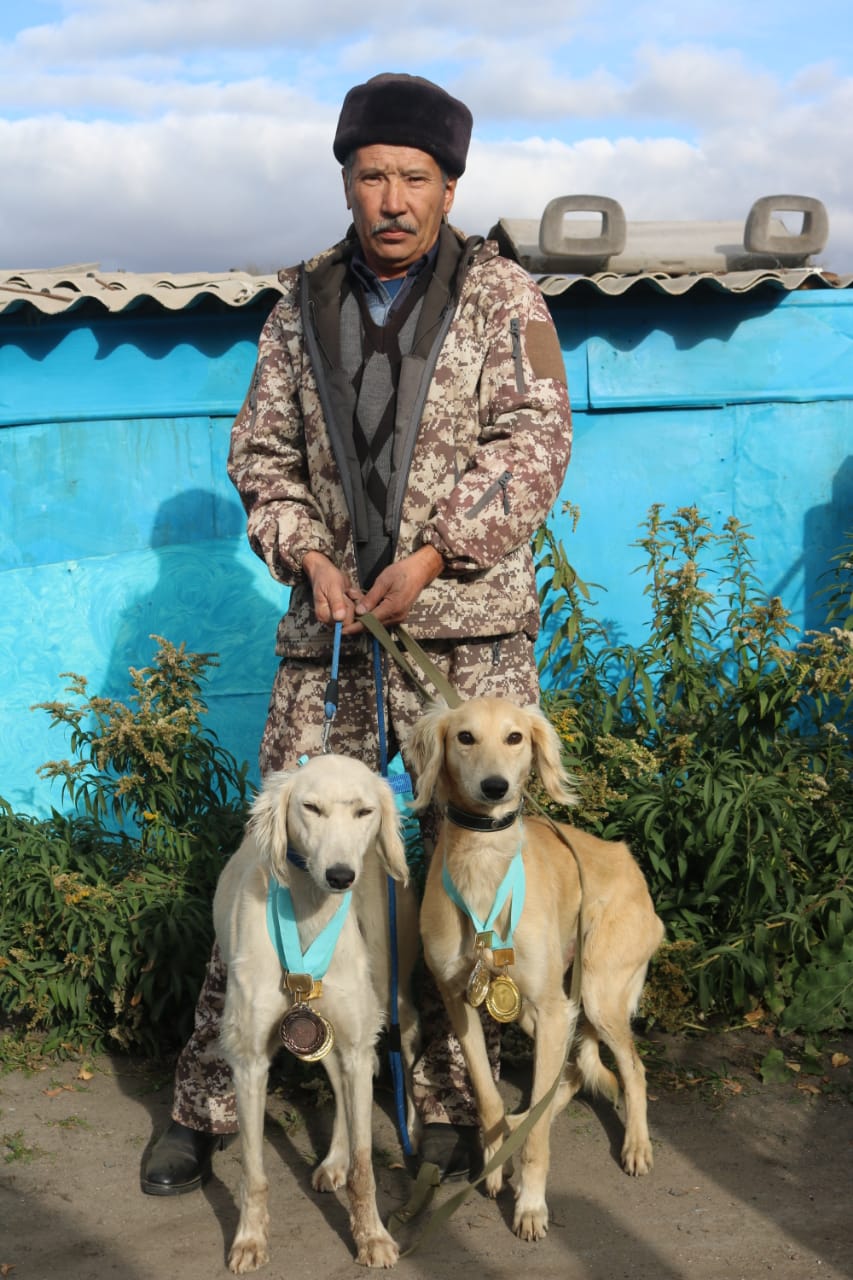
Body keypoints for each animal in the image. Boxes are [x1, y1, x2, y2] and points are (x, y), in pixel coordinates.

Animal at [213, 753, 420, 1271]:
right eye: (311, 808)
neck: (308, 917)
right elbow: (253, 1172)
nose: (341, 876)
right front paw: (250, 1239)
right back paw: (334, 1160)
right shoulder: (249, 1060)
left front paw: (372, 1236)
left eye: (365, 811)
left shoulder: (354, 1041)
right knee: (346, 1089)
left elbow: (368, 1167)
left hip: (387, 1001)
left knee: (397, 1050)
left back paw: (410, 1128)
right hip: (328, 1035)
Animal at [410, 696, 664, 1242]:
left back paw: (635, 1145)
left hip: (594, 997)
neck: (484, 867)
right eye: (465, 737)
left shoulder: (552, 1011)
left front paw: (530, 1204)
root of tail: (628, 861)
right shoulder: (460, 1001)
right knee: (564, 1080)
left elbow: (539, 1139)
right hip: (542, 1009)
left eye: (515, 737)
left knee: (631, 1069)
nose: (495, 788)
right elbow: (487, 1096)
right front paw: (493, 1159)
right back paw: (513, 1123)